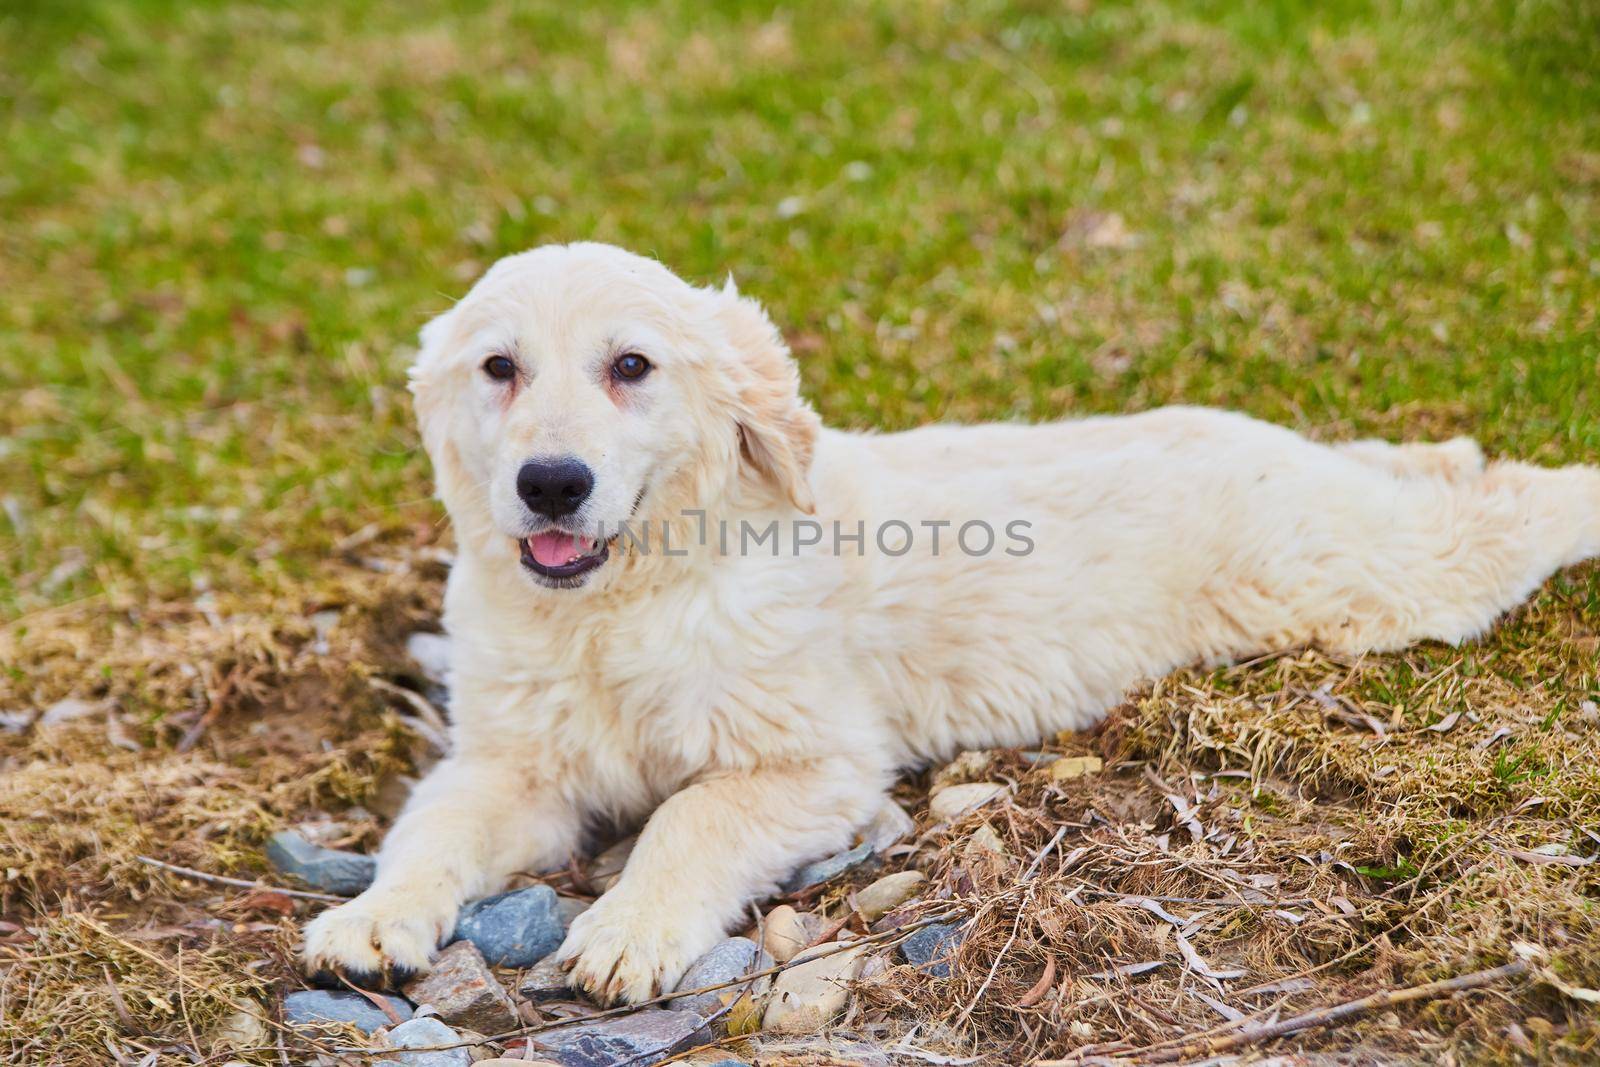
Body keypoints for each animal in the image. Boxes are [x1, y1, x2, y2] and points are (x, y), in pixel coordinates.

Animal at [302, 239, 1600, 1004]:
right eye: (499, 368)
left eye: (631, 366)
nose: (551, 484)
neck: (619, 609)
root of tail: (1262, 441)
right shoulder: (512, 764)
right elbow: (432, 830)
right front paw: (372, 916)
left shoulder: (813, 764)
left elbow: (687, 819)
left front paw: (628, 929)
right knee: (1429, 470)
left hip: (1361, 580)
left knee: (1494, 518)